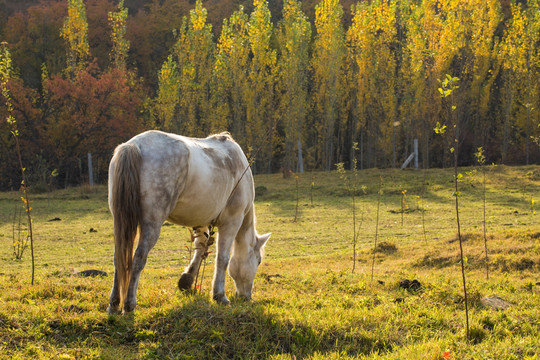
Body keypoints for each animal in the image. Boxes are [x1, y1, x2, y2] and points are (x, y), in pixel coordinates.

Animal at [107, 131, 270, 314]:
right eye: (258, 261)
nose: (246, 297)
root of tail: (134, 146)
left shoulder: (201, 220)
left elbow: (200, 248)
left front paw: (186, 281)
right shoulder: (232, 222)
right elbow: (223, 258)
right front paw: (219, 295)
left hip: (120, 223)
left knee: (119, 258)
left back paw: (114, 304)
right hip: (152, 225)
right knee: (139, 257)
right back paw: (129, 304)